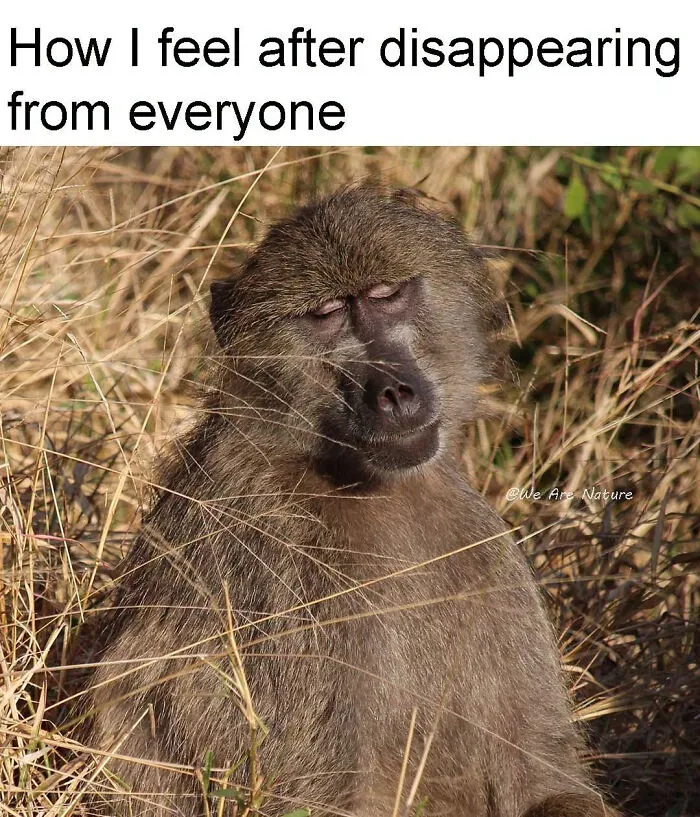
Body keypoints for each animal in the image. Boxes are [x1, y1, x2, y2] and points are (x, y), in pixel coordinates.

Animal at [85, 185, 617, 817]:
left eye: (386, 296)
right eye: (326, 315)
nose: (392, 391)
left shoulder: (482, 546)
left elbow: (545, 780)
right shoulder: (273, 558)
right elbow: (309, 788)